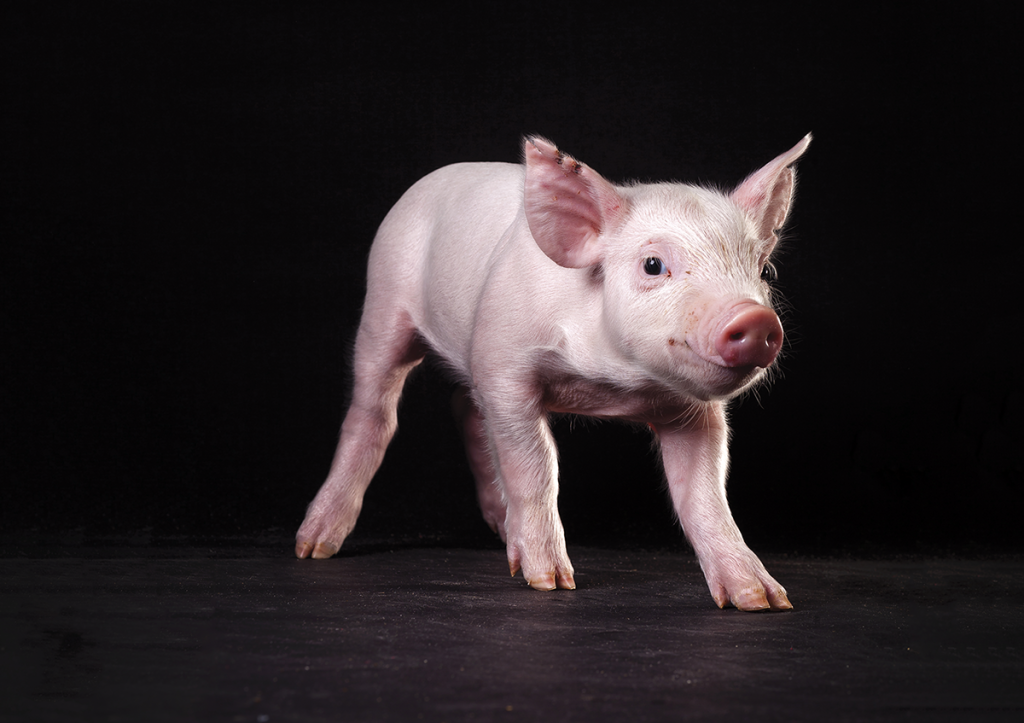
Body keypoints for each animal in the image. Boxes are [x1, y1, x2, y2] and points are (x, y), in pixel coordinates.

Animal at [296, 134, 811, 611]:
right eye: (653, 264)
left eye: (765, 271)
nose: (756, 319)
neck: (612, 387)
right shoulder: (504, 364)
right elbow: (536, 466)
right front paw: (550, 582)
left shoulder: (693, 411)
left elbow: (704, 494)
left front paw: (766, 601)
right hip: (384, 302)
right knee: (374, 410)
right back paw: (314, 546)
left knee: (465, 404)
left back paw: (500, 529)